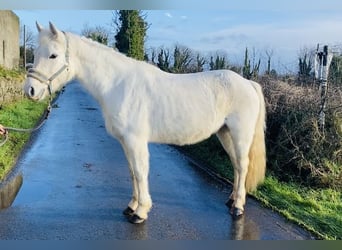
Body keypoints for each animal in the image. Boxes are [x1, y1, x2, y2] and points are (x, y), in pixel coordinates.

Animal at [24, 22, 266, 224]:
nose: (30, 91)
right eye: (35, 53)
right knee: (236, 166)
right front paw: (132, 207)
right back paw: (232, 200)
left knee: (242, 165)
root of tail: (247, 83)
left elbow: (141, 172)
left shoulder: (135, 141)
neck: (118, 85)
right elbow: (132, 172)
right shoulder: (125, 142)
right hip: (224, 133)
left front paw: (140, 212)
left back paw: (238, 207)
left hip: (240, 134)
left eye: (53, 55)